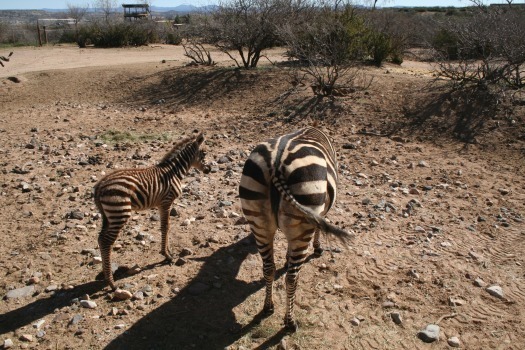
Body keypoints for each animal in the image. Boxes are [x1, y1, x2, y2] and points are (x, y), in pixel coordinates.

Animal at [93, 132, 210, 290]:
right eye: (204, 153)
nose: (209, 170)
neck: (174, 172)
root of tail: (100, 185)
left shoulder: (162, 204)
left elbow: (164, 227)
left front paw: (167, 251)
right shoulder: (166, 202)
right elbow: (166, 227)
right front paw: (167, 255)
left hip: (108, 216)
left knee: (100, 238)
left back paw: (106, 275)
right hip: (119, 213)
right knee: (106, 242)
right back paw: (111, 283)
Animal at [239, 126, 354, 330]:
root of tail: (275, 165)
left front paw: (286, 258)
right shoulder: (319, 213)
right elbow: (319, 228)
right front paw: (318, 248)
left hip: (259, 224)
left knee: (268, 268)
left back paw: (268, 307)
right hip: (304, 212)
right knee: (291, 278)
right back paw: (290, 321)